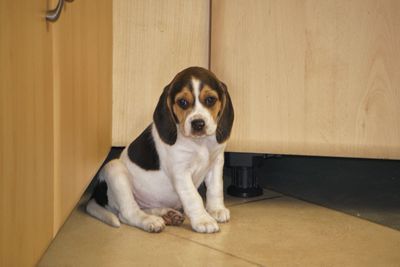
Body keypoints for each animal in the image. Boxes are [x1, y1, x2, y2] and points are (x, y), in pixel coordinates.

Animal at [86, 67, 233, 234]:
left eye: (210, 100)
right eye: (182, 102)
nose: (198, 124)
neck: (199, 143)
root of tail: (97, 193)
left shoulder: (216, 162)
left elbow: (215, 188)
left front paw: (216, 210)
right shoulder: (180, 172)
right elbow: (193, 197)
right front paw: (203, 220)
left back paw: (167, 215)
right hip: (114, 169)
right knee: (127, 214)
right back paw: (150, 221)